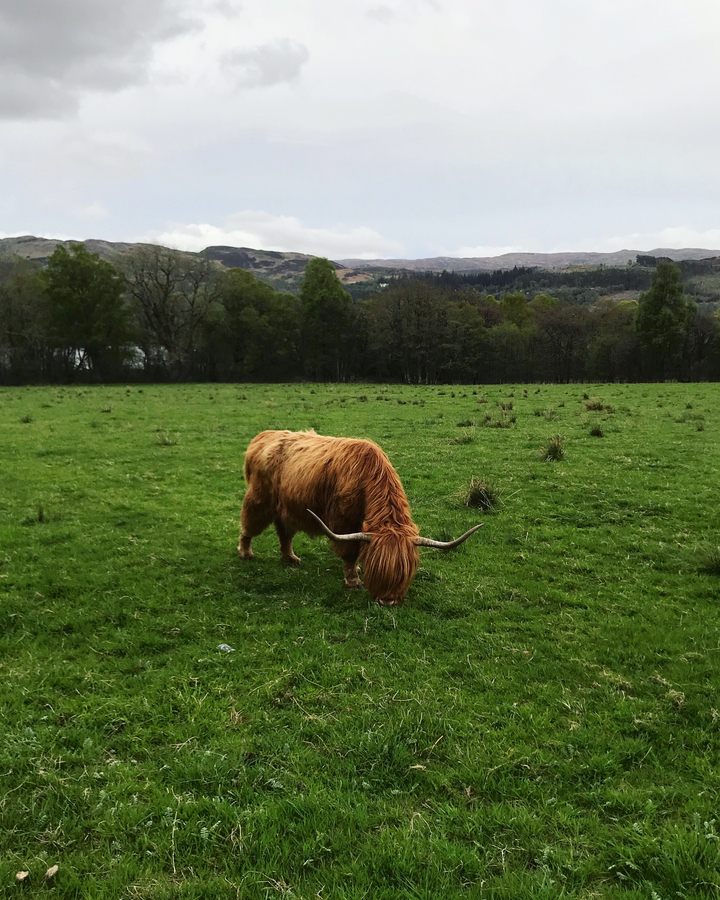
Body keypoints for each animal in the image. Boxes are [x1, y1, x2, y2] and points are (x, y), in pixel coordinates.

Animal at [238, 430, 482, 606]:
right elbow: (350, 552)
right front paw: (353, 580)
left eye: (403, 573)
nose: (387, 601)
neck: (368, 478)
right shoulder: (343, 522)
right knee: (249, 525)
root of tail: (262, 436)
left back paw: (289, 558)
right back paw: (246, 553)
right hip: (259, 500)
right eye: (378, 570)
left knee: (284, 532)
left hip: (287, 507)